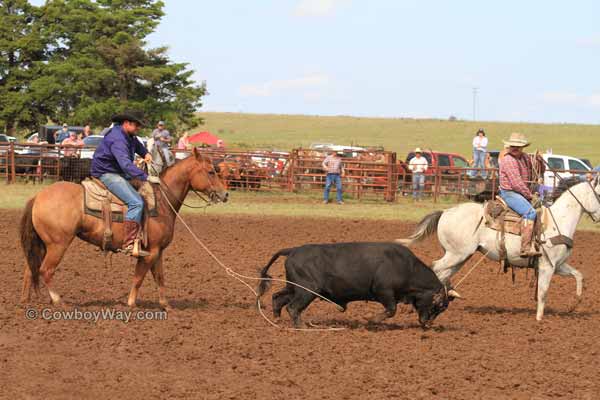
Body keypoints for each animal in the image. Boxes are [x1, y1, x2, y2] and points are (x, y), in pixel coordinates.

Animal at [19, 148, 227, 308]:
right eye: (211, 172)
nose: (225, 194)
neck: (160, 201)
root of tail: (38, 196)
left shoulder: (158, 250)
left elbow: (159, 277)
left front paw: (165, 305)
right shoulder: (149, 252)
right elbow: (139, 277)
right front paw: (131, 303)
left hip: (43, 244)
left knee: (31, 268)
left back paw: (26, 301)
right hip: (58, 244)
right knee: (46, 270)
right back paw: (58, 301)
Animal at [398, 178, 600, 322]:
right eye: (599, 194)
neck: (557, 221)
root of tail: (445, 212)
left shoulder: (558, 265)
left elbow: (579, 275)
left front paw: (574, 304)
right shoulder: (546, 266)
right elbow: (542, 293)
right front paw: (539, 319)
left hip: (460, 256)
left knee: (443, 274)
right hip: (456, 254)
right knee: (436, 268)